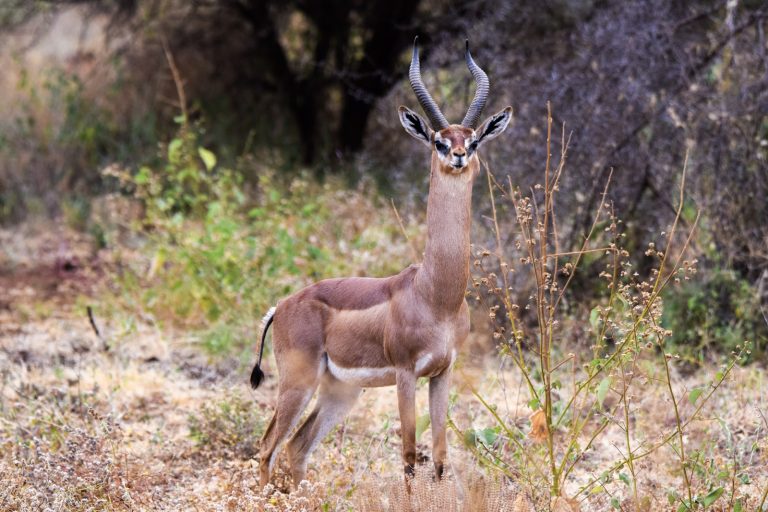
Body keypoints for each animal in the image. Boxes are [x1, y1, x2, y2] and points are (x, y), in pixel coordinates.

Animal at [250, 37, 512, 487]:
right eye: (438, 141)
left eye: (474, 140)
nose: (459, 156)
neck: (435, 295)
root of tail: (280, 307)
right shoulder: (406, 373)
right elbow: (408, 456)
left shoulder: (442, 373)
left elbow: (440, 457)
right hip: (298, 382)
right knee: (268, 447)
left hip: (340, 391)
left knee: (297, 447)